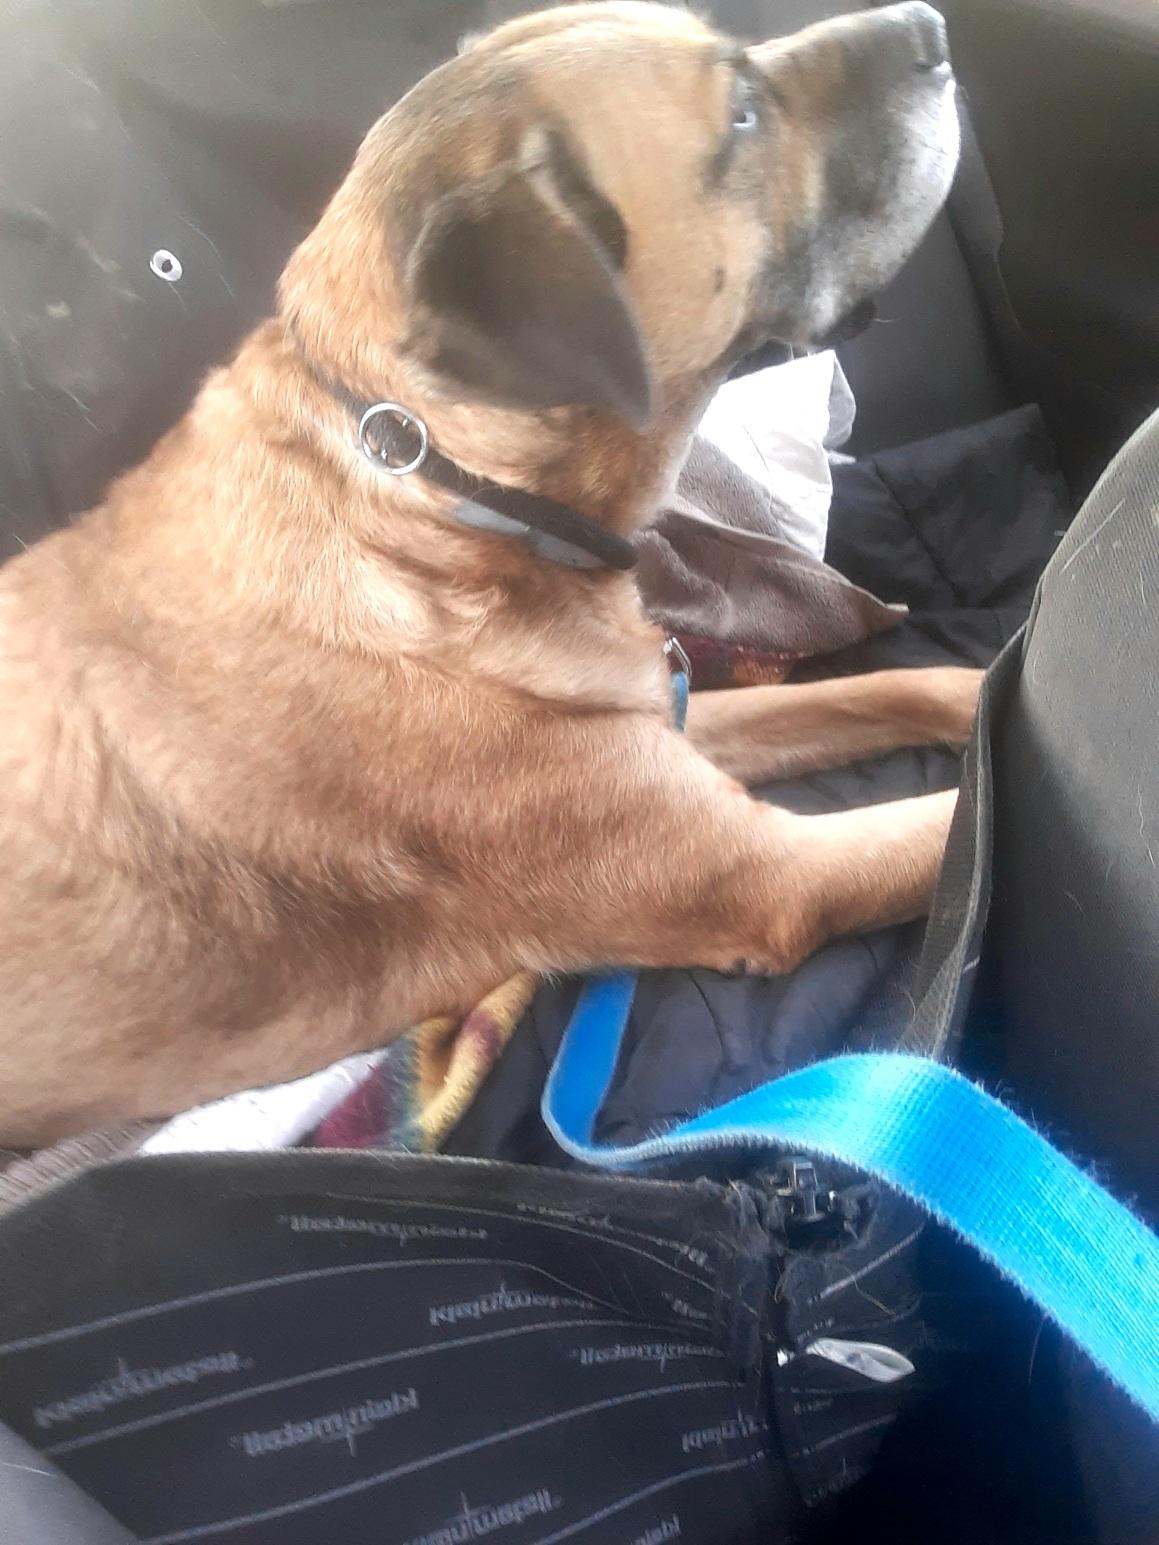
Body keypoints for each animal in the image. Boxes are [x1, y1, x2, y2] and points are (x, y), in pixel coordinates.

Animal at [0, 1, 978, 1144]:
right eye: (740, 113)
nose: (930, 27)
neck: (433, 509)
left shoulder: (657, 726)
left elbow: (897, 688)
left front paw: (989, 685)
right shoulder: (765, 869)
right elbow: (945, 825)